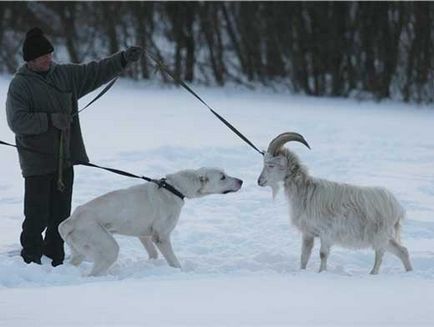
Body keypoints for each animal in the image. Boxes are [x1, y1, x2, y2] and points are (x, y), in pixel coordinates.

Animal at [58, 168, 242, 276]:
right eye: (223, 177)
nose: (241, 181)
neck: (174, 188)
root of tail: (70, 220)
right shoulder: (162, 237)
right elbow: (174, 261)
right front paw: (180, 272)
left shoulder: (145, 236)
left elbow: (153, 254)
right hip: (108, 247)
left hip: (81, 250)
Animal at [258, 132, 414, 276]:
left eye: (271, 165)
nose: (259, 181)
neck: (306, 191)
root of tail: (397, 207)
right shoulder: (308, 233)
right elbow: (304, 256)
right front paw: (302, 271)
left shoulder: (327, 232)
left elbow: (323, 254)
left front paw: (321, 272)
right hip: (384, 236)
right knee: (402, 251)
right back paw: (409, 272)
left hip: (379, 234)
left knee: (380, 254)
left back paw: (372, 273)